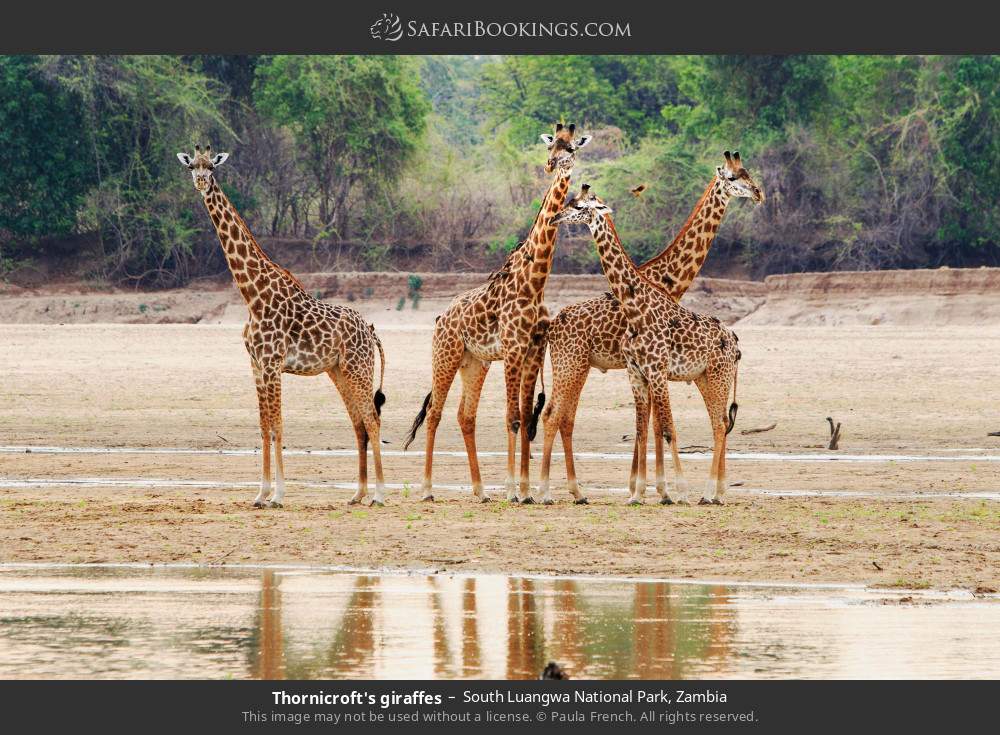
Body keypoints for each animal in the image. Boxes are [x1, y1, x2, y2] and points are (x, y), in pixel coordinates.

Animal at [176, 145, 387, 508]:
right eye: (191, 167)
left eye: (212, 168)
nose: (201, 182)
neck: (251, 294)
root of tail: (371, 330)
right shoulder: (256, 364)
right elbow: (264, 426)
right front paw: (260, 494)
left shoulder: (273, 363)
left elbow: (278, 426)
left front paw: (278, 494)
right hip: (339, 372)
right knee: (359, 423)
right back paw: (357, 494)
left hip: (360, 369)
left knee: (372, 421)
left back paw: (379, 495)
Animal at [403, 123, 592, 503]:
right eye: (552, 145)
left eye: (571, 149)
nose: (551, 165)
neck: (535, 281)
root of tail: (440, 317)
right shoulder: (513, 349)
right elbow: (512, 417)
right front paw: (512, 490)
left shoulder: (534, 350)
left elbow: (524, 415)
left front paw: (526, 489)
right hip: (445, 355)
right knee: (434, 413)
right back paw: (428, 489)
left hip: (475, 362)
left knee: (466, 416)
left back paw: (479, 490)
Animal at [533, 152, 763, 504]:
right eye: (734, 177)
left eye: (743, 174)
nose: (758, 193)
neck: (665, 280)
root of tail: (552, 325)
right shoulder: (641, 370)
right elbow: (653, 427)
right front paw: (655, 489)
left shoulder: (650, 371)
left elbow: (653, 427)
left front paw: (653, 489)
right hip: (573, 364)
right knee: (553, 416)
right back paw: (543, 491)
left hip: (583, 367)